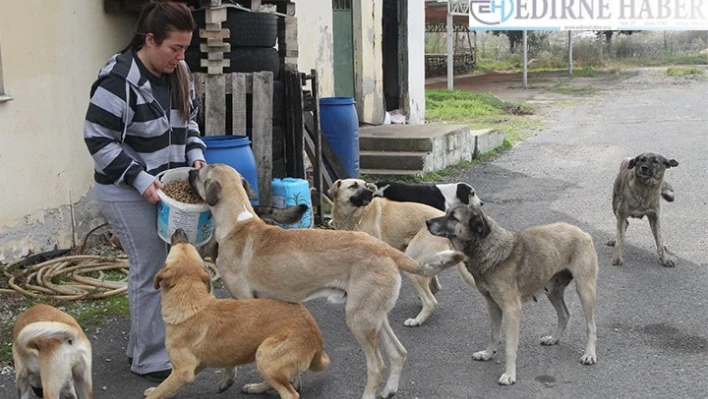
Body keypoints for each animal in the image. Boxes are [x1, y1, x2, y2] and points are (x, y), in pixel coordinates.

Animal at [148, 230, 330, 399]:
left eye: (180, 246)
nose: (180, 230)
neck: (192, 302)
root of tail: (317, 337)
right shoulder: (201, 363)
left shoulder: (183, 372)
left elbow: (159, 392)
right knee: (286, 381)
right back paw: (256, 387)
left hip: (265, 356)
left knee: (290, 393)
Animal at [188, 163, 464, 399]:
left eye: (201, 175)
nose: (190, 170)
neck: (238, 222)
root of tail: (385, 249)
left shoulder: (243, 302)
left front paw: (235, 380)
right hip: (373, 316)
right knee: (398, 353)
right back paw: (388, 390)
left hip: (359, 321)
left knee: (377, 365)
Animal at [426, 205, 596, 386]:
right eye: (446, 212)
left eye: (453, 217)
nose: (427, 222)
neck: (488, 247)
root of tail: (582, 232)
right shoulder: (492, 305)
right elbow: (494, 334)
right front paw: (488, 354)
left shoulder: (512, 309)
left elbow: (510, 347)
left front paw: (509, 375)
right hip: (553, 291)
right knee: (565, 314)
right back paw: (554, 338)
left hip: (584, 289)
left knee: (591, 325)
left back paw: (589, 354)